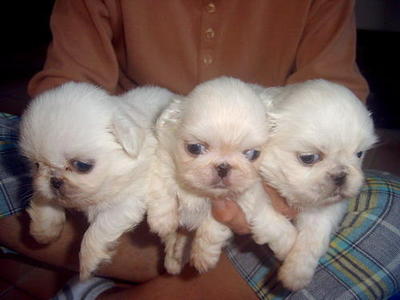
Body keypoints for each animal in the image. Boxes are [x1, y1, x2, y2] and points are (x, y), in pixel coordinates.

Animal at [19, 81, 172, 278]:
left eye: (82, 165)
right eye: (36, 165)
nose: (54, 180)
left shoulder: (127, 201)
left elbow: (98, 229)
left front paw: (89, 263)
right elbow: (45, 201)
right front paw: (44, 231)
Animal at [147, 77, 296, 274]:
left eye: (252, 154)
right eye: (195, 148)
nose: (223, 167)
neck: (199, 193)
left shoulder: (231, 205)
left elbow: (212, 227)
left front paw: (203, 256)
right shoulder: (162, 161)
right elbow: (162, 191)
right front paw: (162, 222)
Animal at [256, 79, 378, 290]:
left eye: (359, 154)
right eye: (308, 158)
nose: (340, 175)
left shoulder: (324, 209)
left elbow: (313, 238)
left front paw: (296, 274)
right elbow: (267, 219)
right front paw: (285, 246)